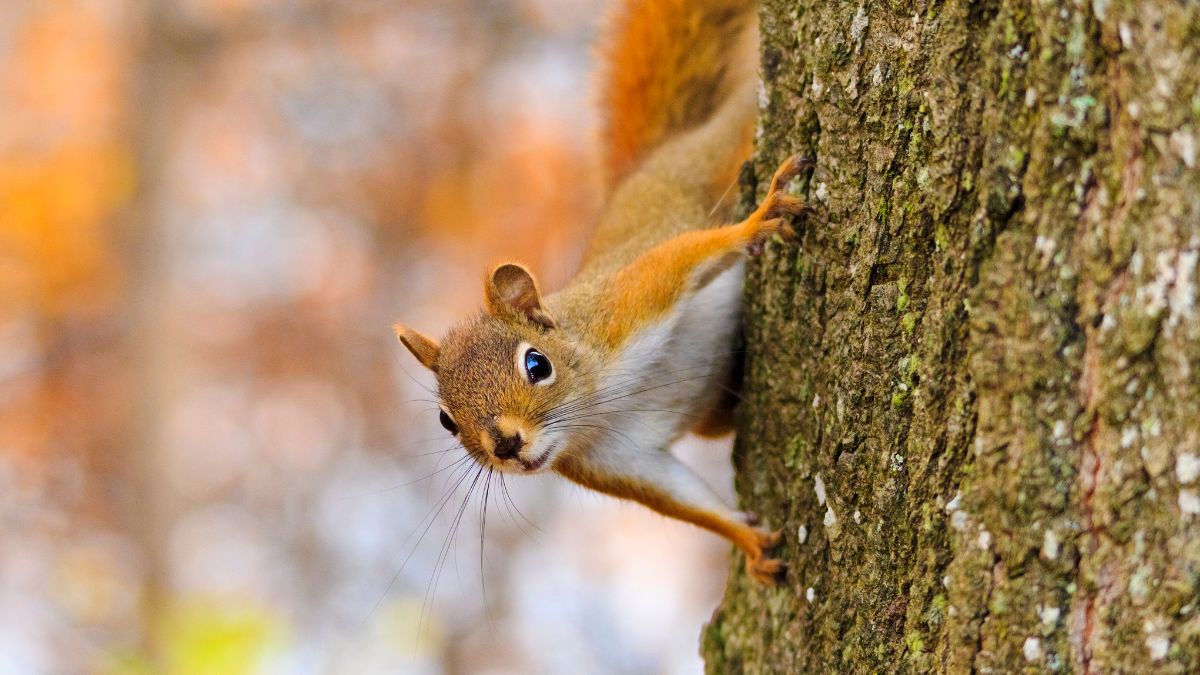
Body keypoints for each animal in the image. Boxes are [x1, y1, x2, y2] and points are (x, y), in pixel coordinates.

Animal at [394, 0, 811, 586]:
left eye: (537, 365)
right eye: (446, 422)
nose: (506, 445)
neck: (599, 404)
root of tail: (650, 163)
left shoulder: (626, 305)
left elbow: (683, 259)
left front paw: (757, 221)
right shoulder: (615, 461)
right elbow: (685, 500)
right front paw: (749, 542)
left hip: (715, 155)